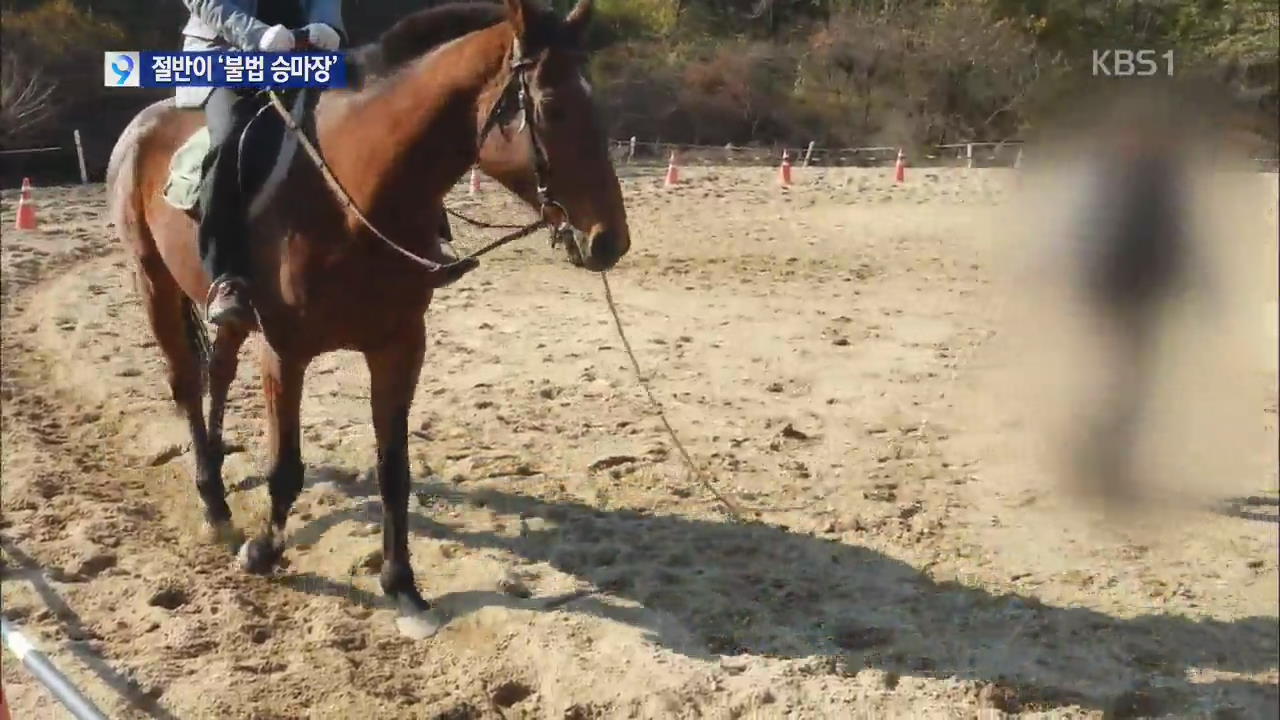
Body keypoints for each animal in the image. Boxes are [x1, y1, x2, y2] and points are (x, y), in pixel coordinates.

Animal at [106, 0, 629, 632]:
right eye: (551, 106)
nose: (609, 242)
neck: (350, 196)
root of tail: (143, 123)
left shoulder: (399, 345)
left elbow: (393, 471)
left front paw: (402, 586)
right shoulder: (285, 351)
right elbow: (287, 466)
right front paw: (264, 551)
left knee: (218, 374)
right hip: (153, 282)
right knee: (185, 382)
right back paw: (213, 500)